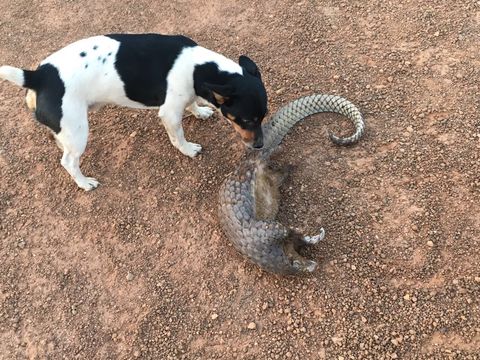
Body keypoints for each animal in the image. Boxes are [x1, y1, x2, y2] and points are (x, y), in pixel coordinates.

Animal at [0, 33, 268, 190]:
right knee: (68, 162)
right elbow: (178, 136)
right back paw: (85, 183)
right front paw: (188, 149)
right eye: (245, 120)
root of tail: (38, 76)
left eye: (263, 116)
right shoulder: (170, 113)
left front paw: (199, 111)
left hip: (67, 130)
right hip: (78, 132)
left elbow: (192, 104)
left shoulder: (187, 96)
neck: (197, 68)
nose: (259, 146)